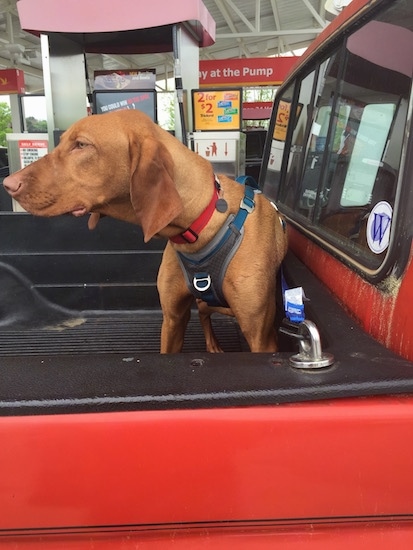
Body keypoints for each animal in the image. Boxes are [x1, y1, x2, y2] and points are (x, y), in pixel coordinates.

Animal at [4, 111, 286, 354]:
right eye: (62, 142)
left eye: (81, 145)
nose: (8, 184)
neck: (201, 227)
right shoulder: (172, 319)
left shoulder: (260, 335)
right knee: (204, 311)